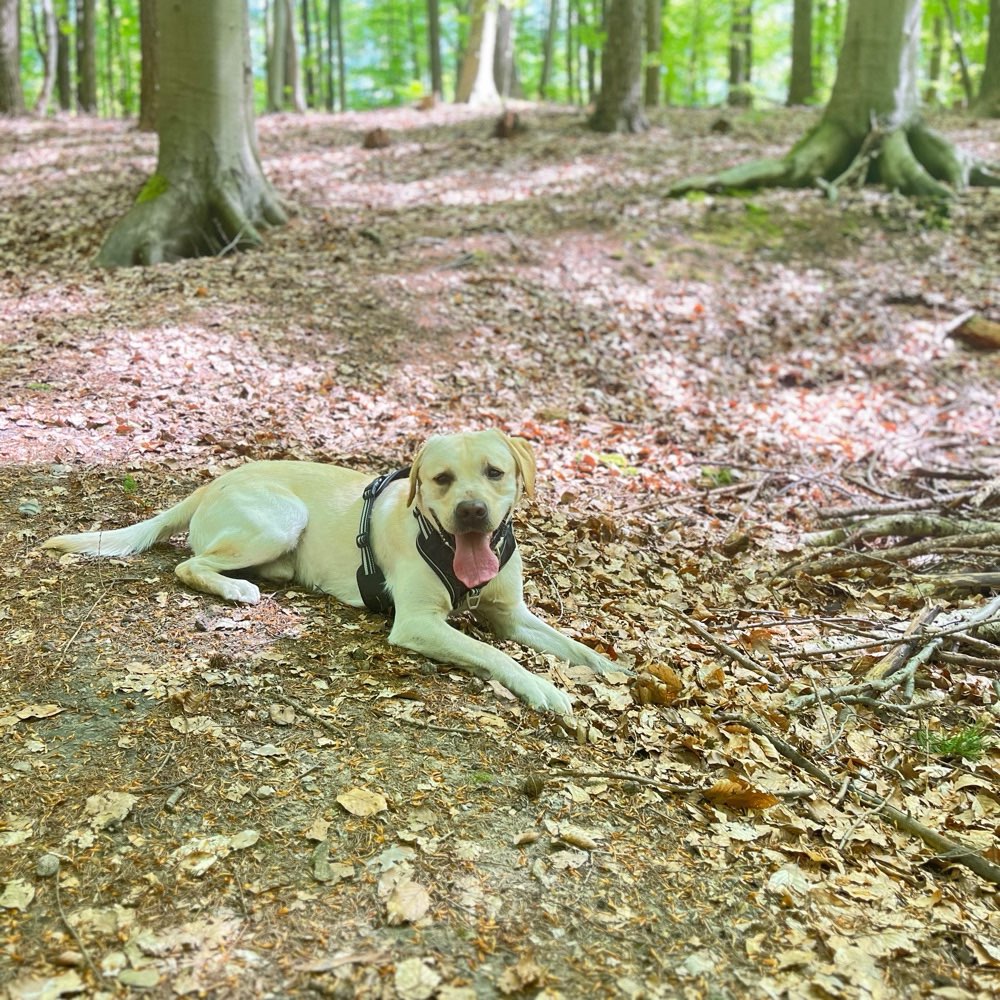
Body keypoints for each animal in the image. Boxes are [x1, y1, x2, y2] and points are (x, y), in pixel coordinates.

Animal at [47, 430, 624, 712]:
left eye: (494, 472)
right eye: (441, 479)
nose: (471, 512)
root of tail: (212, 481)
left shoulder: (512, 615)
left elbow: (575, 647)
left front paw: (617, 672)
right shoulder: (418, 623)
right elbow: (494, 655)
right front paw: (543, 689)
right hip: (280, 519)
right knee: (190, 564)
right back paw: (235, 589)